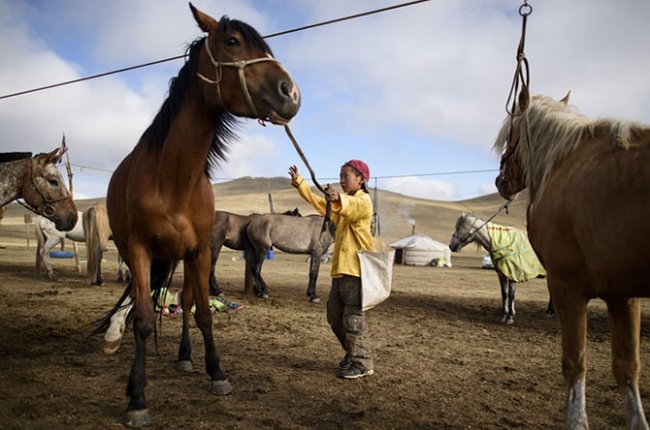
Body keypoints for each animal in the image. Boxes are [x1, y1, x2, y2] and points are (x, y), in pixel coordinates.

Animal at [95, 4, 300, 426]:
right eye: (233, 42)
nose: (291, 93)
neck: (175, 179)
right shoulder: (139, 250)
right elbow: (143, 319)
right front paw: (137, 397)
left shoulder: (200, 252)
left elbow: (203, 311)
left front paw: (217, 372)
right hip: (137, 251)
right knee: (142, 299)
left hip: (183, 257)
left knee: (186, 298)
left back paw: (186, 355)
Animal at [494, 92, 648, 428]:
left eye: (510, 134)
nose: (501, 181)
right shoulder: (623, 294)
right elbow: (627, 365)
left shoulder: (567, 286)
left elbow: (574, 364)